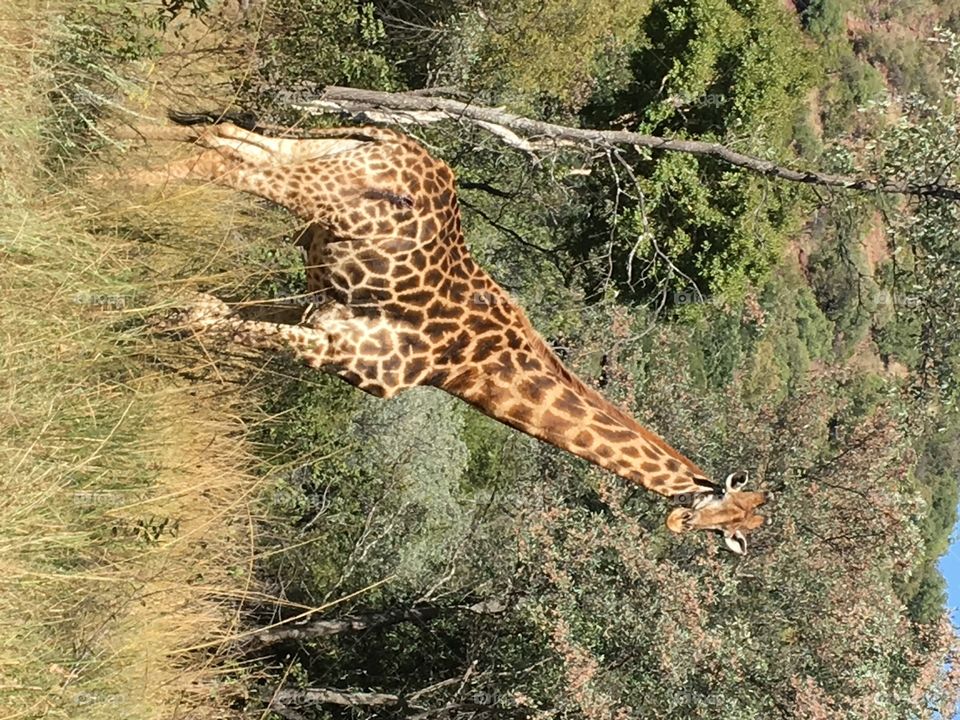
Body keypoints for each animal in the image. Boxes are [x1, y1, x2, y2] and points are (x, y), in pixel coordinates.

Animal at [126, 112, 770, 554]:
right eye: (721, 520)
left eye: (733, 534)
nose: (678, 525)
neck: (461, 369)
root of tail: (395, 143)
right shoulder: (341, 351)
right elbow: (206, 320)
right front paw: (136, 328)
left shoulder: (317, 313)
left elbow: (209, 313)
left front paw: (144, 325)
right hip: (315, 189)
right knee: (217, 162)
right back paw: (115, 185)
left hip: (317, 154)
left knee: (225, 134)